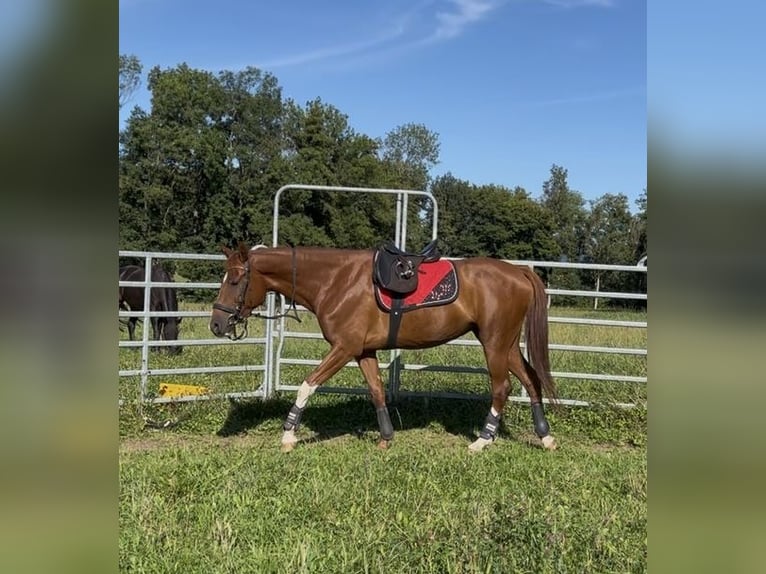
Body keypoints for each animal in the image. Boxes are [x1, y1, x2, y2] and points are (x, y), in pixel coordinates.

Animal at [209, 243, 558, 452]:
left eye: (235, 280)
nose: (216, 325)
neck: (336, 281)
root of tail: (519, 271)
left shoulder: (343, 348)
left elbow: (308, 385)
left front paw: (288, 435)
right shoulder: (363, 351)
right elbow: (376, 390)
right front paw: (386, 437)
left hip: (494, 343)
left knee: (502, 387)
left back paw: (482, 442)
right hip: (507, 344)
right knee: (531, 381)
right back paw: (545, 436)